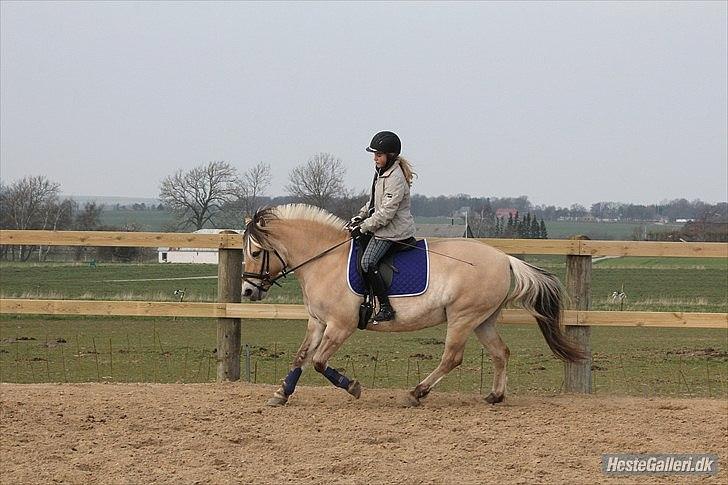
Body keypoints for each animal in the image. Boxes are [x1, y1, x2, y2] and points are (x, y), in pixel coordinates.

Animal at [242, 204, 584, 404]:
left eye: (256, 252)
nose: (247, 291)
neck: (325, 260)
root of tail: (505, 258)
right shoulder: (318, 322)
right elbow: (301, 357)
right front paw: (281, 394)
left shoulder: (340, 326)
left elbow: (319, 361)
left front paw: (353, 386)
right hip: (482, 320)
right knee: (500, 352)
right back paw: (494, 396)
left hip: (462, 317)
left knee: (452, 358)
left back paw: (417, 392)